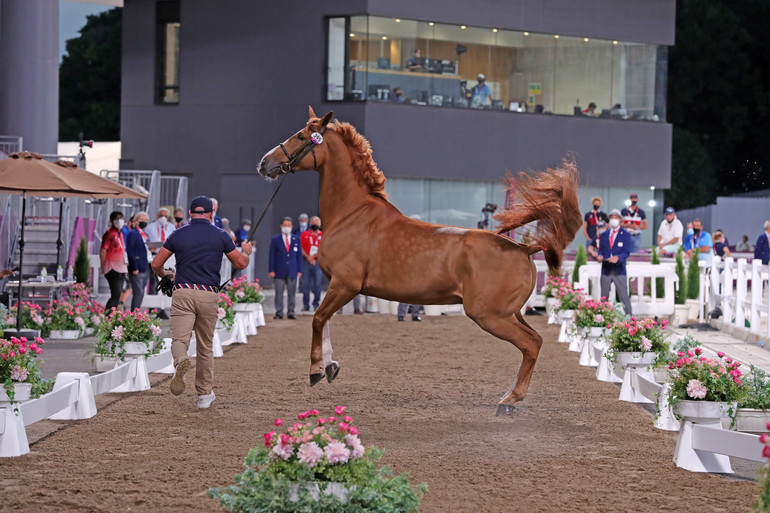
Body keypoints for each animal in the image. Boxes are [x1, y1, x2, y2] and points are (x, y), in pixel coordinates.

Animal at [255, 106, 580, 414]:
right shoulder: (337, 285)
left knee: (530, 344)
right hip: (511, 313)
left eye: (300, 136)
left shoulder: (345, 285)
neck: (352, 214)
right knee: (535, 340)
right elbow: (324, 320)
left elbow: (318, 319)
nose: (264, 164)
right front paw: (331, 366)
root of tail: (522, 248)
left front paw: (316, 370)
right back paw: (509, 397)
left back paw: (509, 400)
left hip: (490, 315)